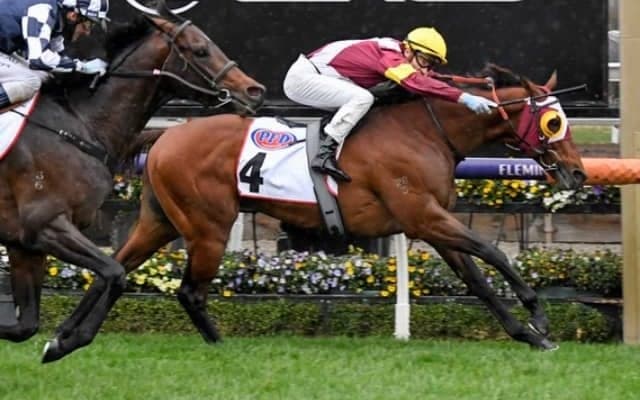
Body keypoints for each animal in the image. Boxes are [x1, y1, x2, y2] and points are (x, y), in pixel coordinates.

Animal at [0, 1, 265, 363]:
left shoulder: (24, 242)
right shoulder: (47, 225)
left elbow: (25, 325)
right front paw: (66, 340)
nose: (255, 91)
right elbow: (116, 273)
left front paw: (59, 340)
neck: (79, 126)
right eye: (200, 50)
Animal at [78, 64, 586, 354]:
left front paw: (528, 334)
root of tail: (166, 136)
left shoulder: (431, 223)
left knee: (113, 268)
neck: (424, 131)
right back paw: (218, 345)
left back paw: (69, 333)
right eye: (553, 121)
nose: (578, 173)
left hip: (160, 221)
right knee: (187, 291)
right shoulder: (423, 215)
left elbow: (477, 280)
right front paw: (539, 317)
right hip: (208, 227)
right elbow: (494, 253)